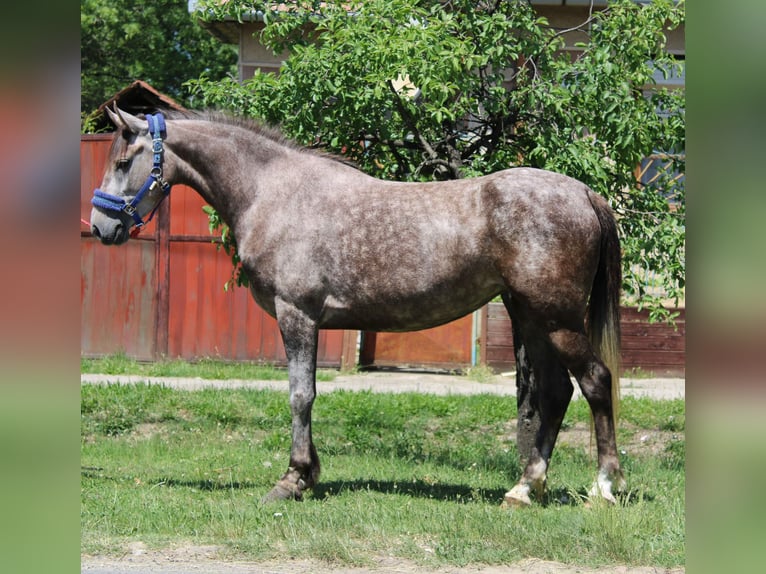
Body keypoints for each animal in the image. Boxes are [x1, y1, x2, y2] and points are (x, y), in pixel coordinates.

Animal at [89, 108, 625, 506]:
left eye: (123, 161)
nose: (100, 227)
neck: (273, 191)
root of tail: (585, 192)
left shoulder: (297, 314)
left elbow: (300, 395)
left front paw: (293, 479)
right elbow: (307, 393)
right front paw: (308, 474)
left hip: (555, 318)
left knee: (595, 381)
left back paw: (605, 486)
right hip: (529, 316)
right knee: (556, 392)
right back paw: (525, 488)